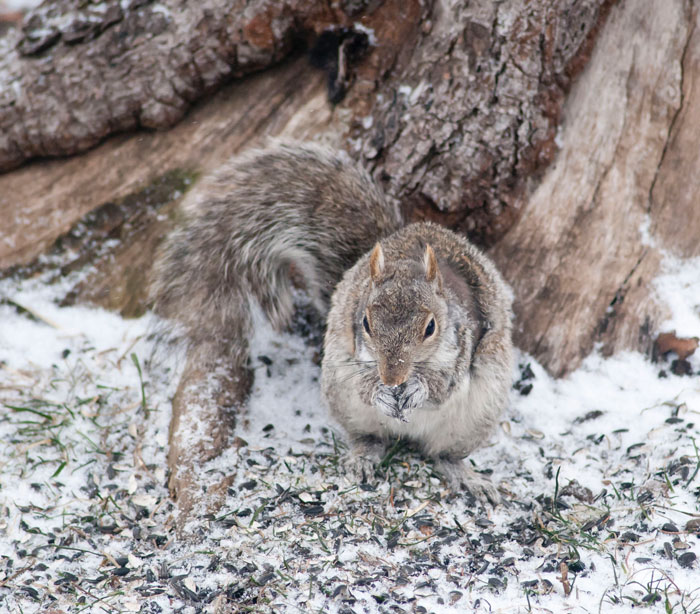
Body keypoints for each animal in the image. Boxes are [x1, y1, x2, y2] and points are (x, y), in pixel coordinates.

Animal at [151, 142, 513, 501]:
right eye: (365, 323)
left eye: (431, 327)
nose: (392, 377)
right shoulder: (353, 356)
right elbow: (363, 383)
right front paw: (379, 390)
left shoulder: (463, 342)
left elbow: (444, 385)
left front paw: (419, 389)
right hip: (345, 400)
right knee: (370, 438)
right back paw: (364, 457)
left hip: (472, 421)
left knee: (444, 454)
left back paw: (465, 475)